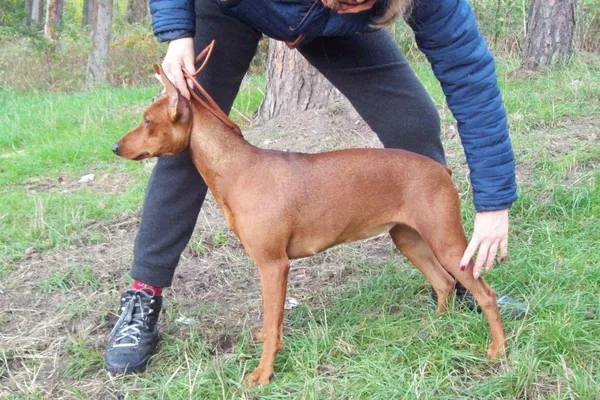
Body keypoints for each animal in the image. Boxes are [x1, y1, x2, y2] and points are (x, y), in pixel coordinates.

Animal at [113, 41, 506, 388]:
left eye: (147, 121)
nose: (115, 147)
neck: (237, 168)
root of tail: (442, 170)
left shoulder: (273, 265)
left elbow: (272, 321)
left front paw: (264, 374)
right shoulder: (272, 268)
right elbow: (273, 322)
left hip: (446, 243)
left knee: (485, 293)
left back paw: (497, 351)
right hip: (408, 239)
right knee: (443, 284)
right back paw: (435, 329)